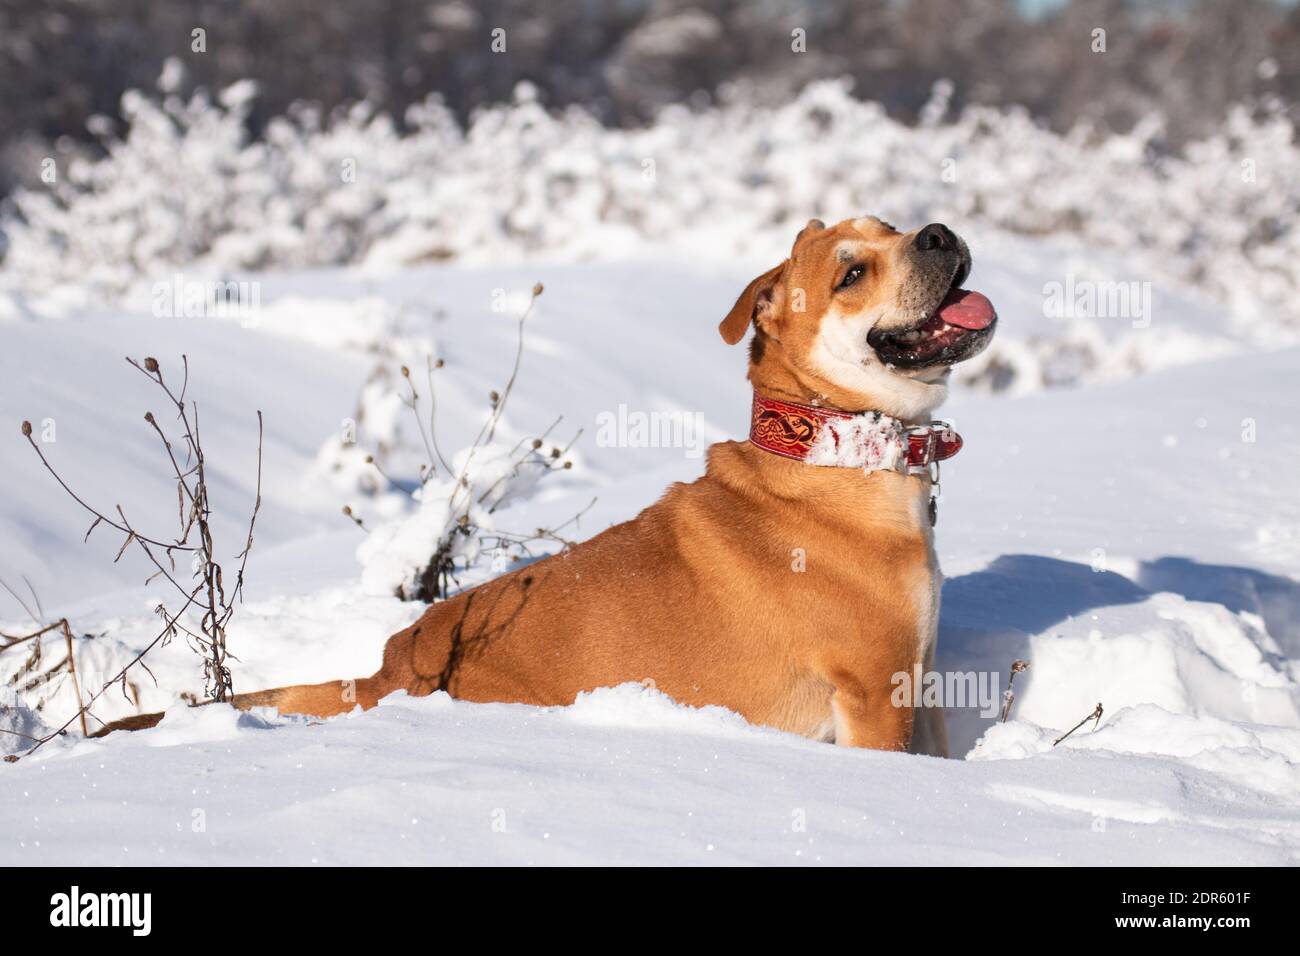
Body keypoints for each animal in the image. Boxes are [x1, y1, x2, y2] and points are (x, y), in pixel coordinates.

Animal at [101, 217, 993, 754]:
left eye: (894, 226)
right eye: (851, 273)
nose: (940, 231)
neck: (835, 449)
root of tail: (392, 667)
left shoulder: (919, 685)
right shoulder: (874, 696)